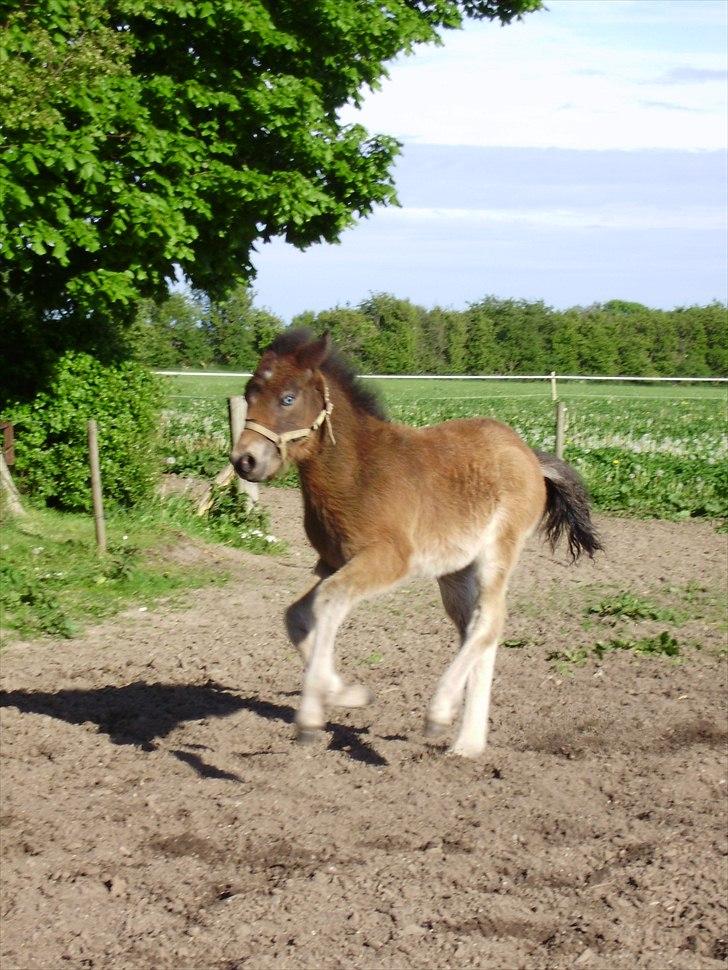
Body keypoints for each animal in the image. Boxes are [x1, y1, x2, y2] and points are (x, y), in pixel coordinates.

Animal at [233, 328, 604, 752]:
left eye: (288, 398)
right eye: (248, 394)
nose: (244, 460)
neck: (357, 473)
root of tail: (527, 453)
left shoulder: (389, 558)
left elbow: (328, 602)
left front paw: (312, 717)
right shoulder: (331, 561)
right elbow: (295, 615)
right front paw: (348, 694)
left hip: (498, 551)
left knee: (489, 620)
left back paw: (440, 712)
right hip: (455, 569)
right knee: (474, 628)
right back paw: (468, 744)